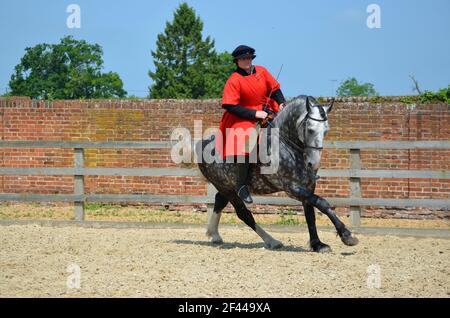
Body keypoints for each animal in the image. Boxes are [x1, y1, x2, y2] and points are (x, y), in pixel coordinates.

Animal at [197, 95, 358, 252]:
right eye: (310, 129)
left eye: (326, 130)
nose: (313, 164)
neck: (286, 144)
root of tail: (203, 144)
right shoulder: (292, 188)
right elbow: (322, 203)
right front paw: (347, 235)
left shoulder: (308, 186)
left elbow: (310, 213)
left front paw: (317, 244)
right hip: (228, 189)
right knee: (244, 214)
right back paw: (271, 241)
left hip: (226, 186)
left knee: (219, 201)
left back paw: (214, 234)